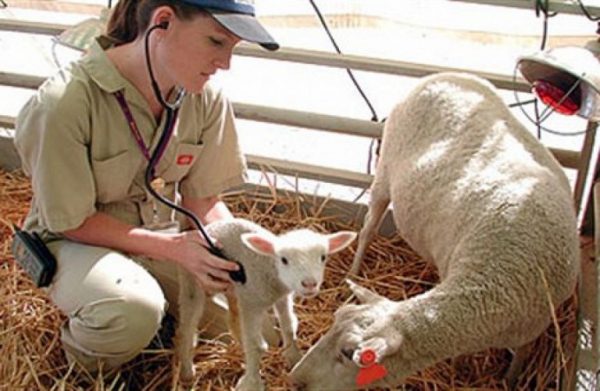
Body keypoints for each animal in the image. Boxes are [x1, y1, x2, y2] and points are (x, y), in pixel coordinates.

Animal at [171, 219, 356, 390]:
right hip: (192, 278)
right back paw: (187, 372)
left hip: (235, 289)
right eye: (284, 260)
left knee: (233, 319)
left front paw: (294, 358)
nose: (309, 284)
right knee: (187, 327)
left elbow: (289, 327)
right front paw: (253, 383)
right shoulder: (252, 303)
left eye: (323, 257)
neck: (270, 269)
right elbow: (256, 345)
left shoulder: (281, 296)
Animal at [290, 72, 580, 390]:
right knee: (367, 230)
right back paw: (354, 271)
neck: (502, 279)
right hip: (384, 171)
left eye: (347, 352)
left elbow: (520, 357)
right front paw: (460, 366)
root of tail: (441, 76)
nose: (294, 378)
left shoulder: (535, 324)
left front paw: (510, 379)